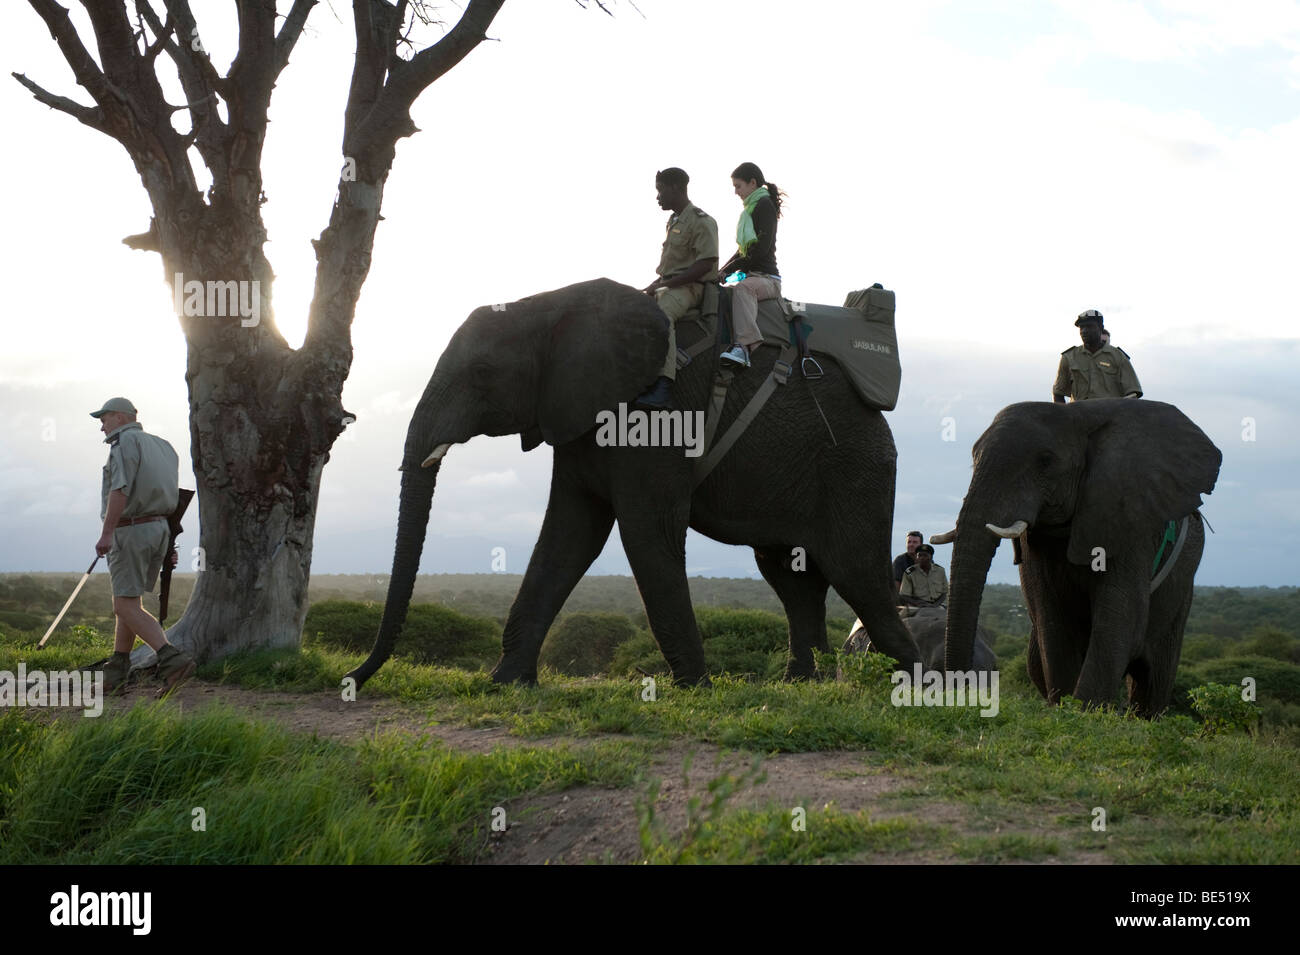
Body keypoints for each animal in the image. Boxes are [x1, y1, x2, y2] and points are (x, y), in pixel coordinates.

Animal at [343, 276, 915, 686]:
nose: (353, 678)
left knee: (858, 574)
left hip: (856, 466)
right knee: (791, 578)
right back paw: (804, 686)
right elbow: (569, 535)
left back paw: (913, 686)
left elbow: (645, 534)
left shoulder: (654, 418)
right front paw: (505, 684)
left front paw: (696, 689)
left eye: (483, 374)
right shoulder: (579, 415)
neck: (552, 306)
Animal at [935, 394, 1216, 717]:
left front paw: (1083, 713)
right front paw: (1066, 709)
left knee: (1154, 680)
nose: (961, 692)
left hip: (1181, 590)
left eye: (1045, 461)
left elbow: (1119, 621)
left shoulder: (1130, 524)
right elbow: (1053, 622)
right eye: (973, 458)